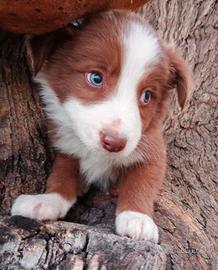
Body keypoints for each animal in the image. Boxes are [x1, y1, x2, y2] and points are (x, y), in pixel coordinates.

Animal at [11, 10, 189, 243]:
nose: (115, 143)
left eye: (147, 96)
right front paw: (46, 200)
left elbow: (143, 180)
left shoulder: (152, 146)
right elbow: (62, 175)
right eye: (96, 78)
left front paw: (137, 217)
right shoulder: (67, 146)